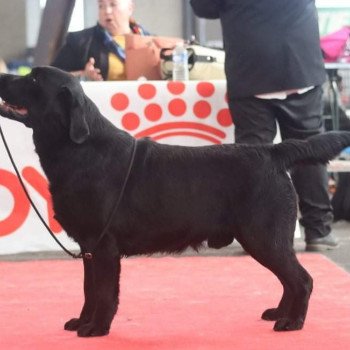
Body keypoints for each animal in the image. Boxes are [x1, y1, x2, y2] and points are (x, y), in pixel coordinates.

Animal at [0, 67, 350, 338]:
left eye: (33, 79)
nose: (2, 75)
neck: (80, 150)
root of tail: (273, 151)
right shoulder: (88, 247)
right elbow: (88, 290)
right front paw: (82, 322)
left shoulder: (104, 246)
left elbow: (103, 292)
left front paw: (97, 328)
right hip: (264, 239)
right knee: (289, 280)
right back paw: (280, 313)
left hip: (264, 236)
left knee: (301, 279)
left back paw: (293, 322)